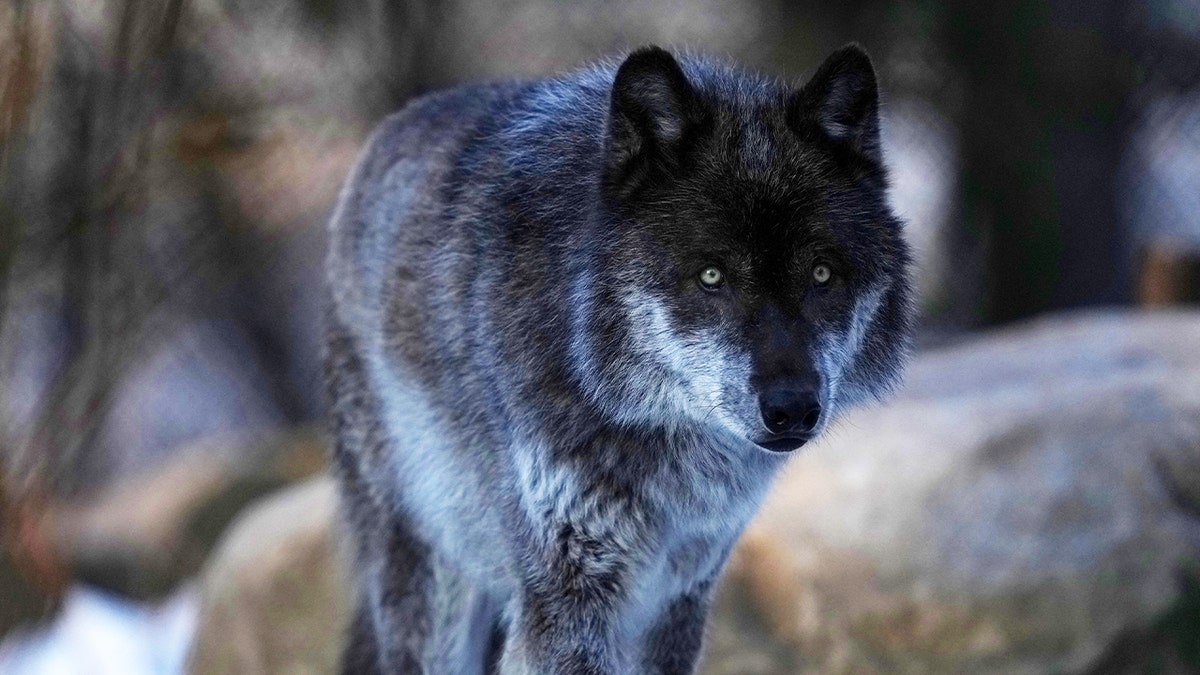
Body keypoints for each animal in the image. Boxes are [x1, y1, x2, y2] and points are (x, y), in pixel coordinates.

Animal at [324, 44, 912, 667]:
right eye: (711, 276)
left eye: (821, 274)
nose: (793, 407)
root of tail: (385, 133)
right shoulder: (568, 598)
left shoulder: (682, 590)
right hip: (433, 585)